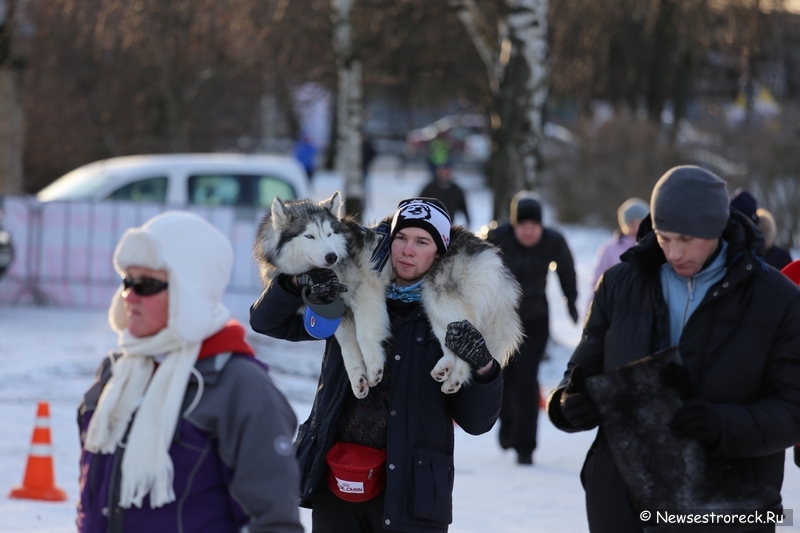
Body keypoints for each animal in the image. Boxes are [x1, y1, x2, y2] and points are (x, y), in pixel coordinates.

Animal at [253, 193, 520, 396]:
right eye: (309, 236)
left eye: (329, 234)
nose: (332, 257)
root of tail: (488, 250)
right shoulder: (339, 314)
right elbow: (348, 349)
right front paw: (358, 380)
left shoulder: (365, 294)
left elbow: (364, 336)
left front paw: (374, 368)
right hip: (440, 311)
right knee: (454, 346)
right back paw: (447, 373)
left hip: (441, 303)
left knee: (466, 344)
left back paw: (452, 373)